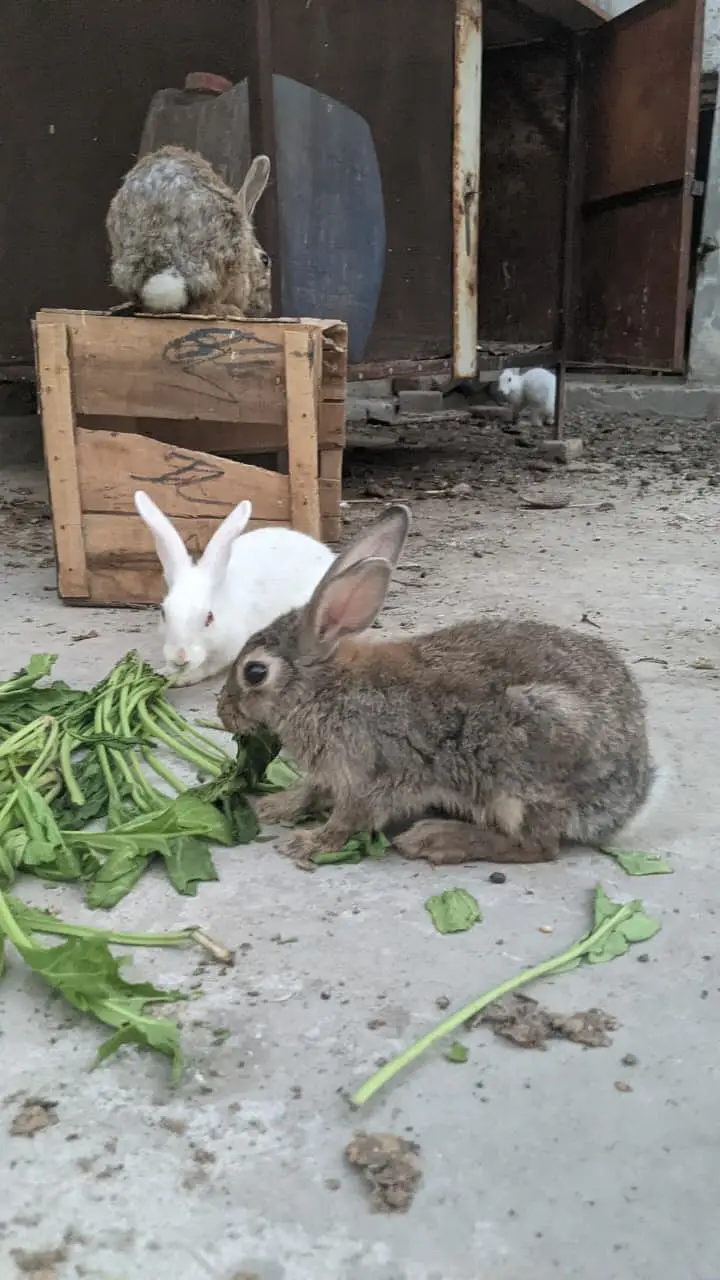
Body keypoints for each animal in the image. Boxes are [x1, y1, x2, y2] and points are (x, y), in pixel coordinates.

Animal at [135, 490, 335, 687]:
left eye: (209, 618)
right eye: (163, 613)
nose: (180, 657)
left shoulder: (229, 648)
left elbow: (208, 668)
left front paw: (182, 677)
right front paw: (165, 672)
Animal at [217, 504, 652, 867]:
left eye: (254, 673)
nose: (223, 713)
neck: (322, 689)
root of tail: (629, 797)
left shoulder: (367, 774)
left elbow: (349, 818)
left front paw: (308, 843)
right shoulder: (333, 774)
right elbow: (312, 789)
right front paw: (277, 806)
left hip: (522, 768)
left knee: (537, 846)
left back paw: (434, 839)